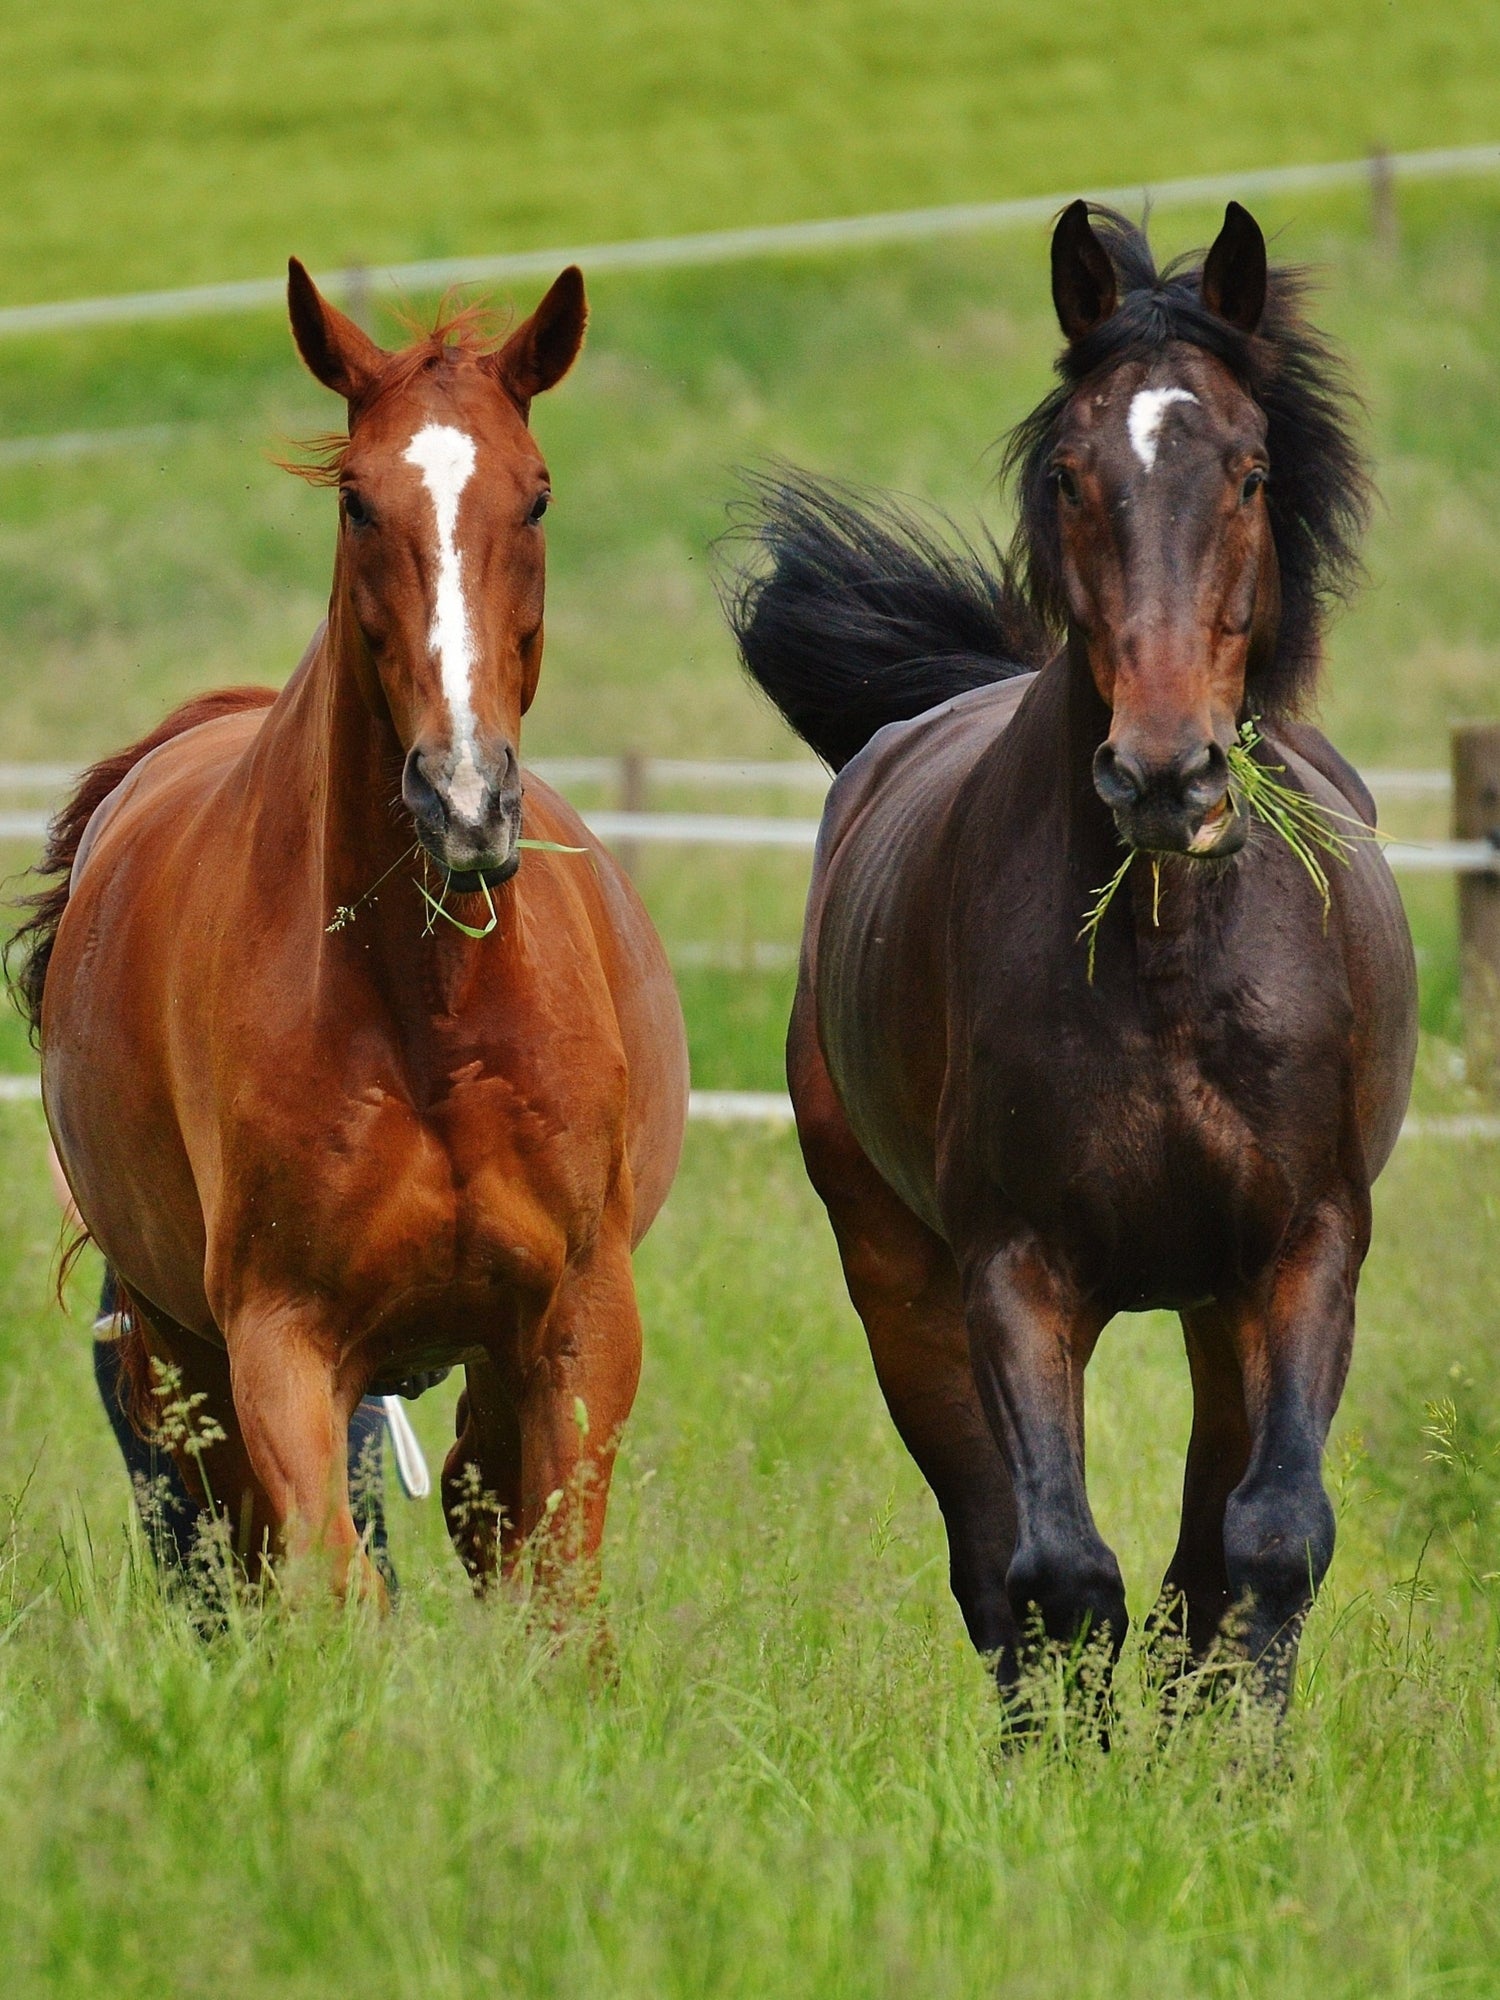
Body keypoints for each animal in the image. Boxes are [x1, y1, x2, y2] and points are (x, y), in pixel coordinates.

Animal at [13, 260, 689, 1600]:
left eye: (537, 495)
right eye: (357, 503)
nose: (464, 798)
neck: (429, 1011)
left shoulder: (580, 1325)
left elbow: (554, 1593)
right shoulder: (280, 1340)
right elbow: (335, 1583)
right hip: (188, 1357)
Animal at [726, 202, 1416, 1705]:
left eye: (1252, 470)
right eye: (1068, 473)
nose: (1163, 774)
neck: (1169, 969)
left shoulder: (1305, 1246)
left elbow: (1267, 1542)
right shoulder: (1014, 1270)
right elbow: (1056, 1576)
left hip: (1217, 1310)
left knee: (1205, 1553)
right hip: (901, 1285)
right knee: (1000, 1565)